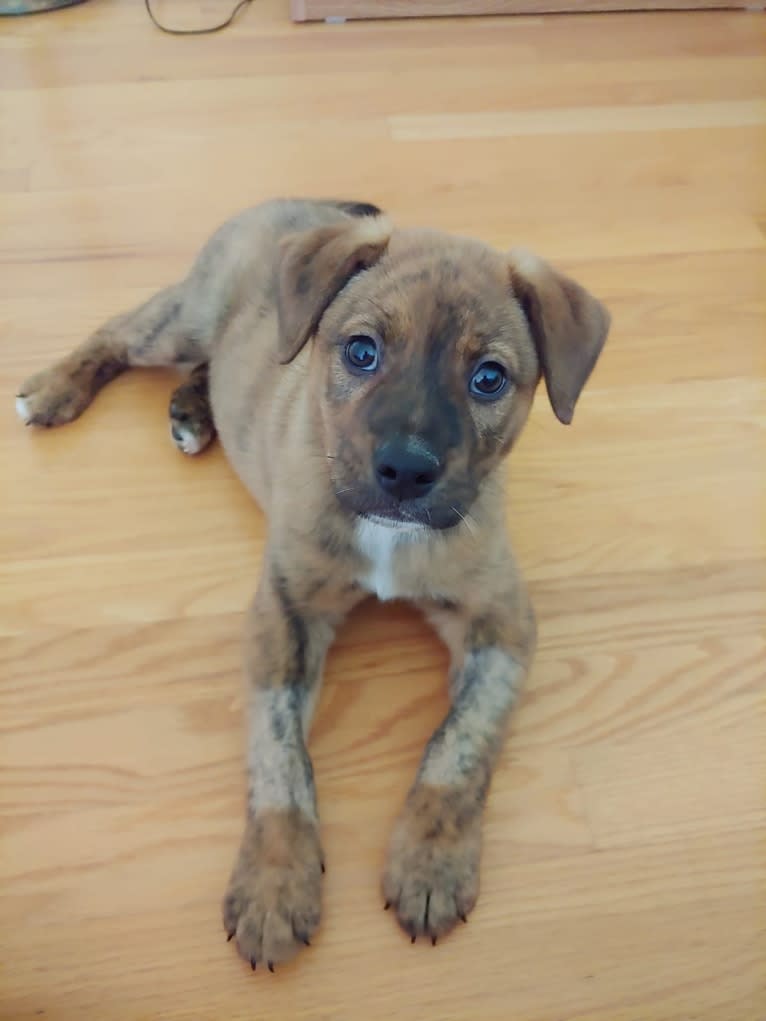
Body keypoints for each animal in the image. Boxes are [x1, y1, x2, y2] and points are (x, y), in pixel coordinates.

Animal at [18, 199, 612, 971]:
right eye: (361, 352)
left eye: (488, 378)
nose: (405, 471)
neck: (388, 534)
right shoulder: (284, 613)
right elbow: (280, 760)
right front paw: (275, 883)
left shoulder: (502, 619)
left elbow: (461, 744)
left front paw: (431, 861)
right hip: (183, 317)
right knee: (121, 331)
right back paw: (55, 388)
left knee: (222, 362)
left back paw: (194, 411)